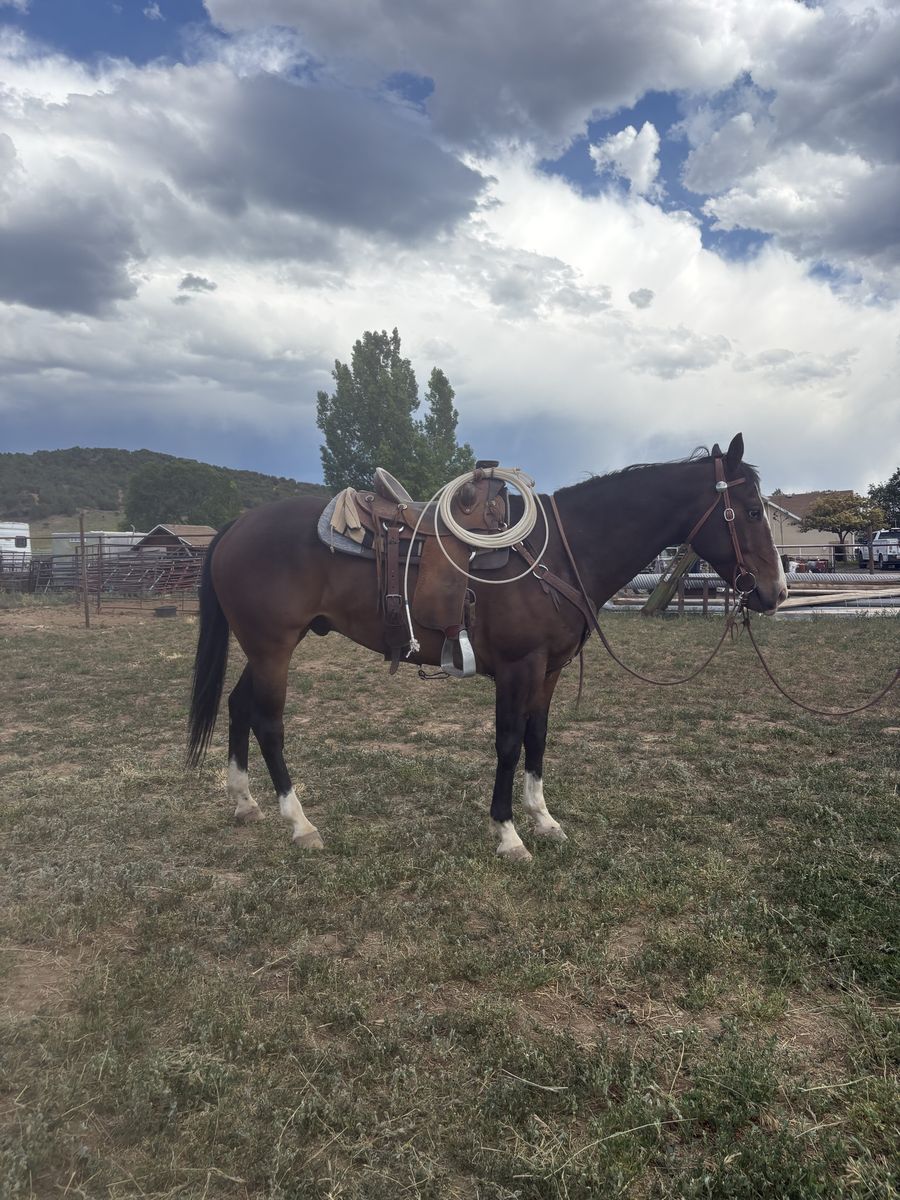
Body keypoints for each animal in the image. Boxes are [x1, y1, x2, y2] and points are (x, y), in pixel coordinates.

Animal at [187, 433, 787, 861]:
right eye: (751, 511)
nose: (775, 591)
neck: (559, 552)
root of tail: (237, 524)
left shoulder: (549, 670)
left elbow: (537, 740)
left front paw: (544, 820)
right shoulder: (520, 668)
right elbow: (507, 743)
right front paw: (508, 834)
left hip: (263, 649)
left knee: (238, 706)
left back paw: (244, 803)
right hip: (273, 648)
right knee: (268, 723)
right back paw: (300, 823)